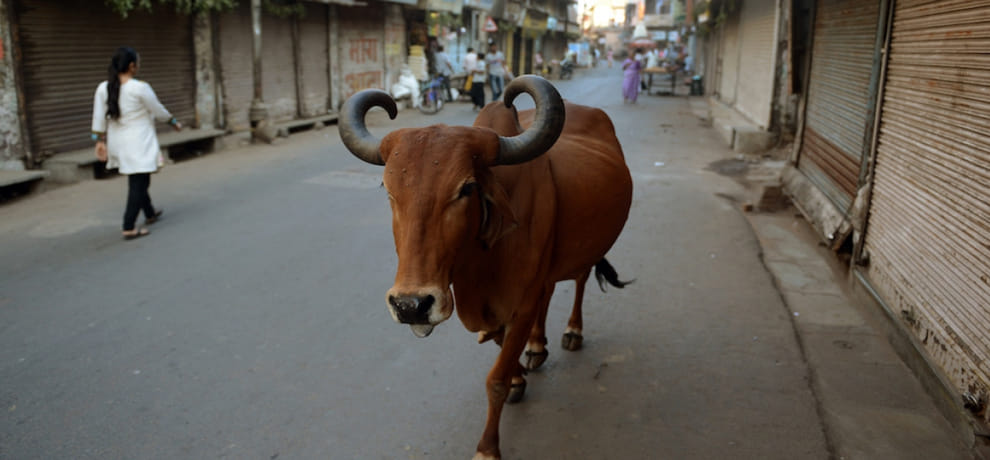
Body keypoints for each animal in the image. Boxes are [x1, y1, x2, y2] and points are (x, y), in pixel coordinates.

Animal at [338, 76, 633, 460]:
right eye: (389, 190)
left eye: (466, 188)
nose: (410, 305)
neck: (481, 261)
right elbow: (500, 343)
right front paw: (521, 373)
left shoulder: (522, 303)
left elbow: (496, 379)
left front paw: (488, 447)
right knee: (551, 291)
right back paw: (537, 346)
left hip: (585, 251)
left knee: (580, 280)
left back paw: (572, 332)